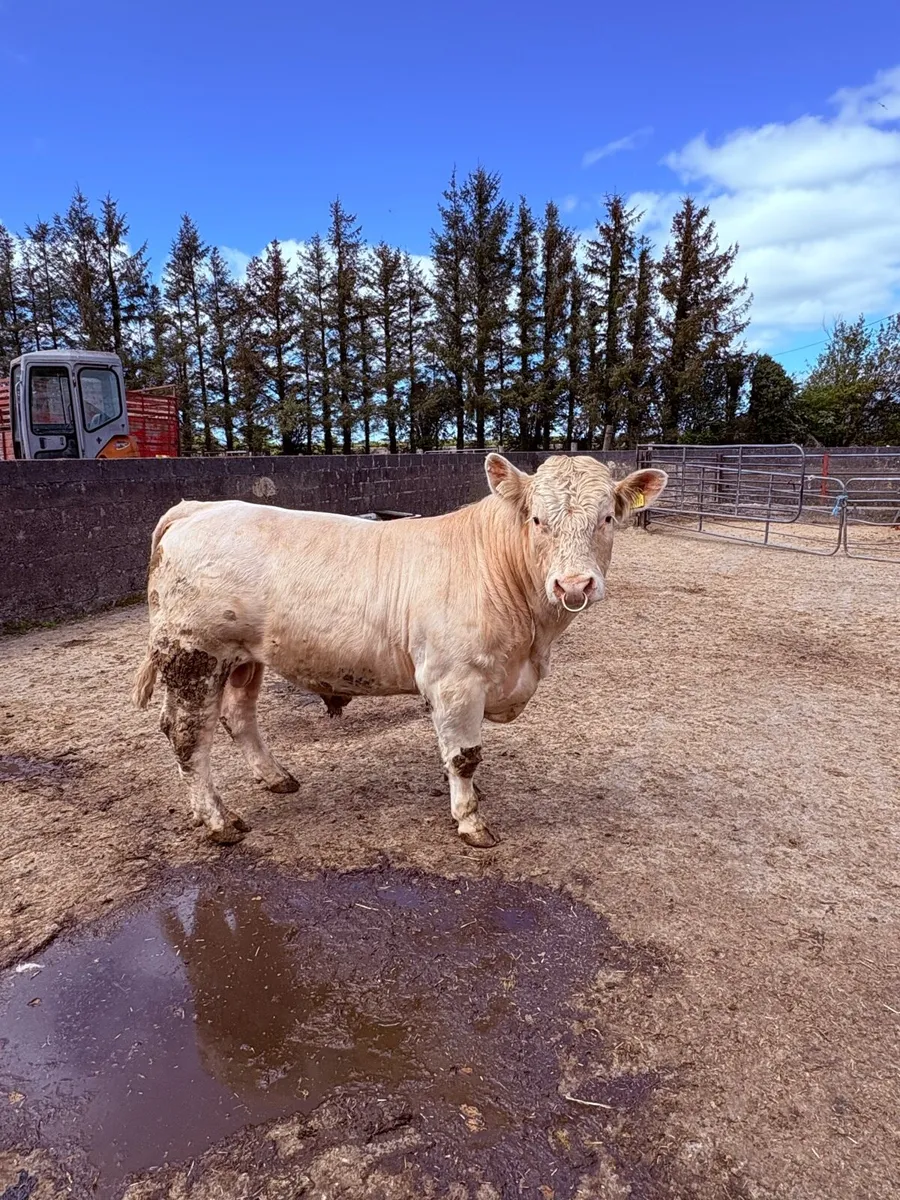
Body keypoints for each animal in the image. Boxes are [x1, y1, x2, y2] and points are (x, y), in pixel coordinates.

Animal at [133, 454, 667, 848]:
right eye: (538, 520)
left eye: (607, 518)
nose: (573, 584)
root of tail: (198, 508)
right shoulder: (454, 680)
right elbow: (465, 755)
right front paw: (470, 821)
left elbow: (461, 753)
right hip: (195, 653)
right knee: (188, 735)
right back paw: (219, 821)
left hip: (246, 657)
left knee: (238, 715)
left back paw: (276, 777)